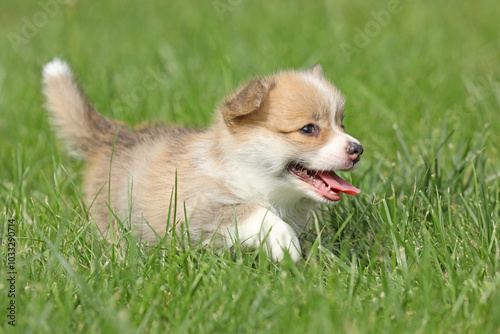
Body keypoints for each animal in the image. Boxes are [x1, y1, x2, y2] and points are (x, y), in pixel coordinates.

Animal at [42, 58, 364, 260]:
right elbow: (254, 212)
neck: (247, 174)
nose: (357, 149)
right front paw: (286, 244)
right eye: (308, 129)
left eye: (341, 123)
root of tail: (112, 136)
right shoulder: (202, 209)